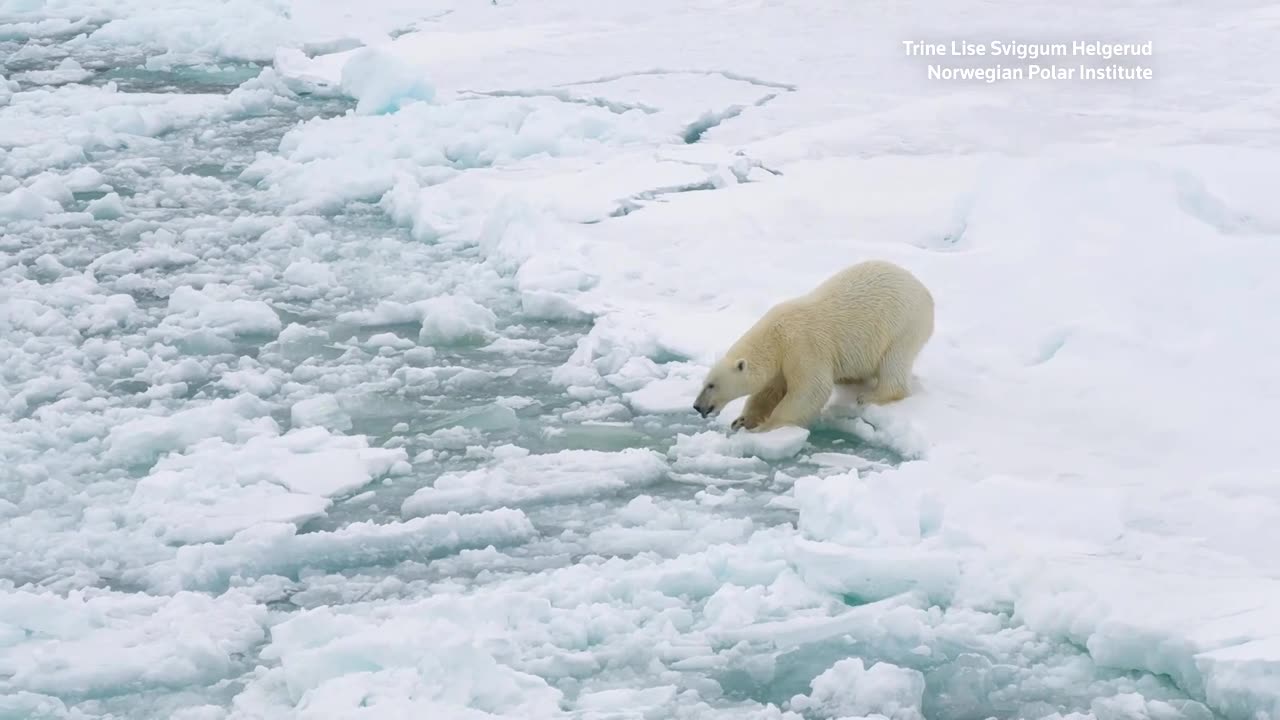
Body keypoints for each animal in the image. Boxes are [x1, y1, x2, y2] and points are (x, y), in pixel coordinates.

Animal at [692, 259, 934, 433]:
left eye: (711, 385)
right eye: (705, 382)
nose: (697, 406)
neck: (775, 337)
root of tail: (925, 292)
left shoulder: (803, 346)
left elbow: (811, 389)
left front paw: (768, 426)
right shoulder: (782, 361)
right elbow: (770, 390)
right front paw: (743, 420)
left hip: (903, 324)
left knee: (894, 362)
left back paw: (870, 396)